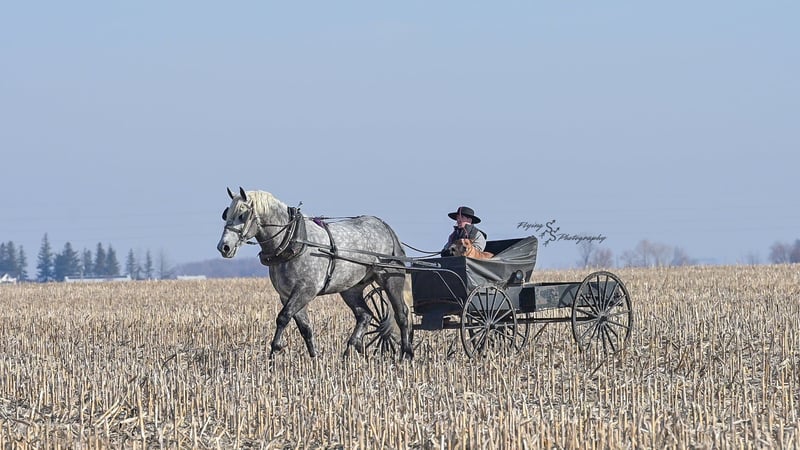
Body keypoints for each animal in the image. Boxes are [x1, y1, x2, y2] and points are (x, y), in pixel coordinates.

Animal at [216, 187, 413, 359]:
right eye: (226, 214)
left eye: (242, 215)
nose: (224, 247)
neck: (292, 240)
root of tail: (386, 227)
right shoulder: (286, 294)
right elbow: (305, 327)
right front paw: (314, 358)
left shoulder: (306, 290)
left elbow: (283, 317)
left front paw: (274, 352)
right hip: (351, 288)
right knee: (365, 315)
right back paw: (349, 352)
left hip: (391, 279)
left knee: (401, 314)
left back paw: (406, 354)